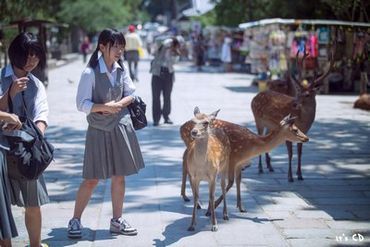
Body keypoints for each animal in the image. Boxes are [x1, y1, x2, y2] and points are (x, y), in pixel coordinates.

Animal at [251, 44, 336, 181]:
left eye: (307, 95)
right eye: (299, 92)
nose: (295, 103)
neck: (303, 121)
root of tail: (255, 97)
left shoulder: (304, 132)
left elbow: (300, 153)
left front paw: (300, 175)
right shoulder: (287, 129)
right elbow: (290, 153)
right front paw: (290, 177)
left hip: (270, 125)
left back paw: (270, 166)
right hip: (258, 119)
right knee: (259, 136)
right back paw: (260, 168)